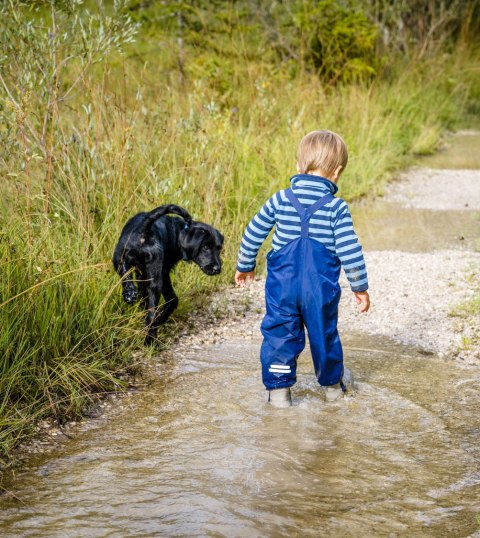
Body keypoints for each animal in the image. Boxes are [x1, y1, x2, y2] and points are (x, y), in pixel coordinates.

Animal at [113, 203, 224, 346]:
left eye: (219, 248)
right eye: (205, 247)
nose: (217, 269)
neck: (177, 232)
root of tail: (144, 229)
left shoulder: (142, 274)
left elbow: (145, 298)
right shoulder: (164, 273)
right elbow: (173, 300)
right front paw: (161, 319)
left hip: (119, 259)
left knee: (127, 278)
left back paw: (130, 294)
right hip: (155, 278)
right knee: (152, 316)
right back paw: (151, 342)